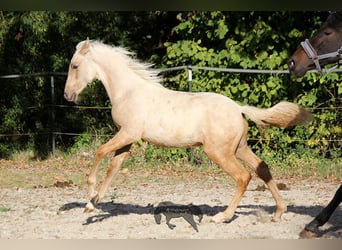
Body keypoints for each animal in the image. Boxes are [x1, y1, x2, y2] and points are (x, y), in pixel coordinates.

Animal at [64, 38, 312, 223]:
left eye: (75, 65)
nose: (68, 95)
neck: (129, 92)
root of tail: (238, 109)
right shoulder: (128, 139)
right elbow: (113, 168)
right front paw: (92, 204)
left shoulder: (128, 133)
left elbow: (99, 153)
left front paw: (90, 198)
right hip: (239, 148)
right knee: (263, 169)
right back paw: (279, 211)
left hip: (219, 152)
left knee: (244, 176)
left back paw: (222, 216)